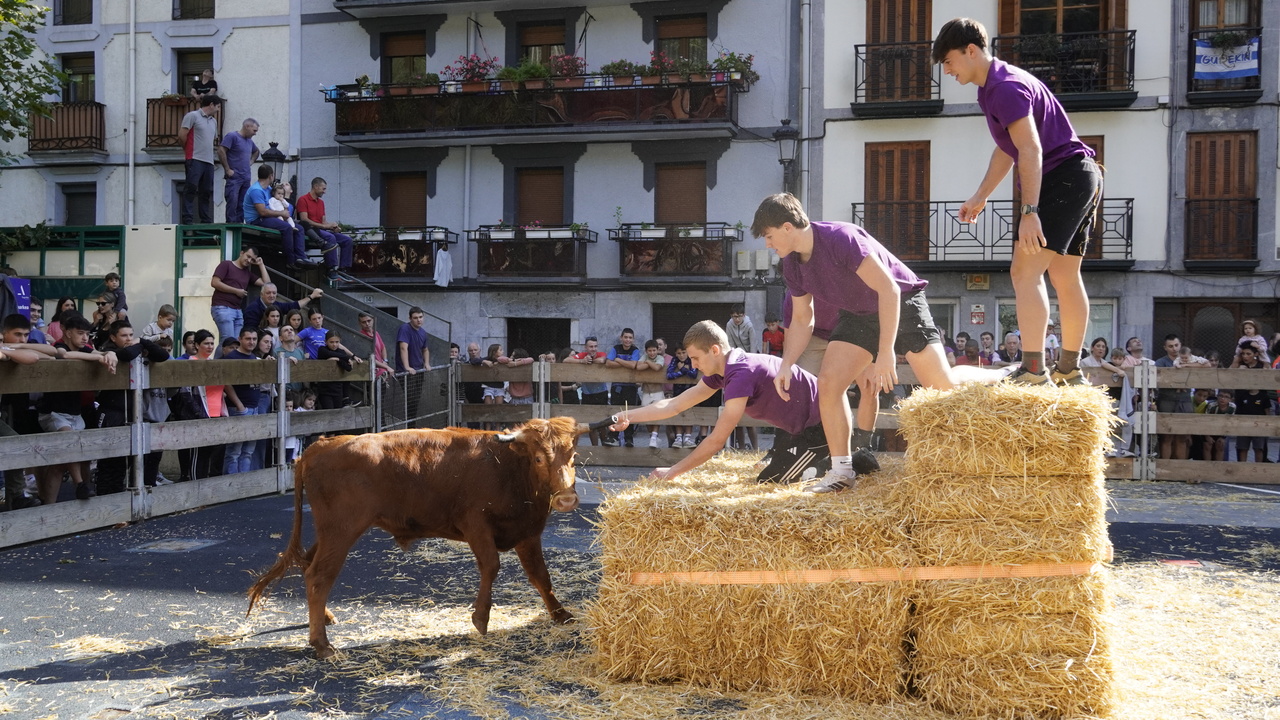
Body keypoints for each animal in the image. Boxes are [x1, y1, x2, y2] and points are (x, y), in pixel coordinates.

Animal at [247, 417, 584, 659]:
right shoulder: (475, 525)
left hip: (331, 532)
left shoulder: (528, 533)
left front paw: (561, 614)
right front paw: (481, 617)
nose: (567, 499)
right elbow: (491, 566)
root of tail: (321, 446)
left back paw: (325, 619)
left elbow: (540, 576)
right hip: (341, 530)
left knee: (308, 565)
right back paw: (321, 644)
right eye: (539, 458)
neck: (509, 468)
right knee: (318, 575)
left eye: (573, 457)